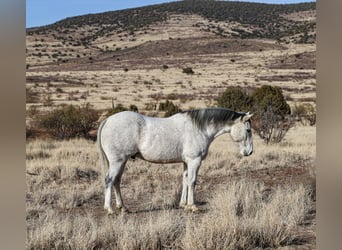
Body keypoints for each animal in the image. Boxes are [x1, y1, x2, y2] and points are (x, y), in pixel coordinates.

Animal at [97, 107, 252, 213]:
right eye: (248, 130)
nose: (249, 152)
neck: (199, 129)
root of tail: (107, 120)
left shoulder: (186, 162)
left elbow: (185, 180)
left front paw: (183, 204)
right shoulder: (194, 161)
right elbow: (192, 181)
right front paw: (192, 206)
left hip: (122, 162)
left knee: (117, 181)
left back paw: (123, 207)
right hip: (117, 162)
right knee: (109, 180)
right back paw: (109, 209)